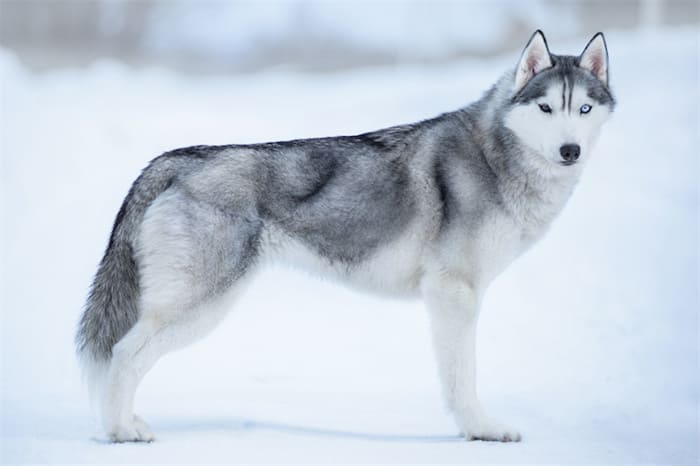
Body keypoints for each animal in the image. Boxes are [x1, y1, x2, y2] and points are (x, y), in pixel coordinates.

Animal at [76, 31, 612, 442]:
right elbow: (463, 377)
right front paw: (481, 430)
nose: (570, 151)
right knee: (123, 355)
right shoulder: (455, 293)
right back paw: (121, 432)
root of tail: (172, 161)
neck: (495, 154)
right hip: (197, 307)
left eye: (584, 108)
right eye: (545, 108)